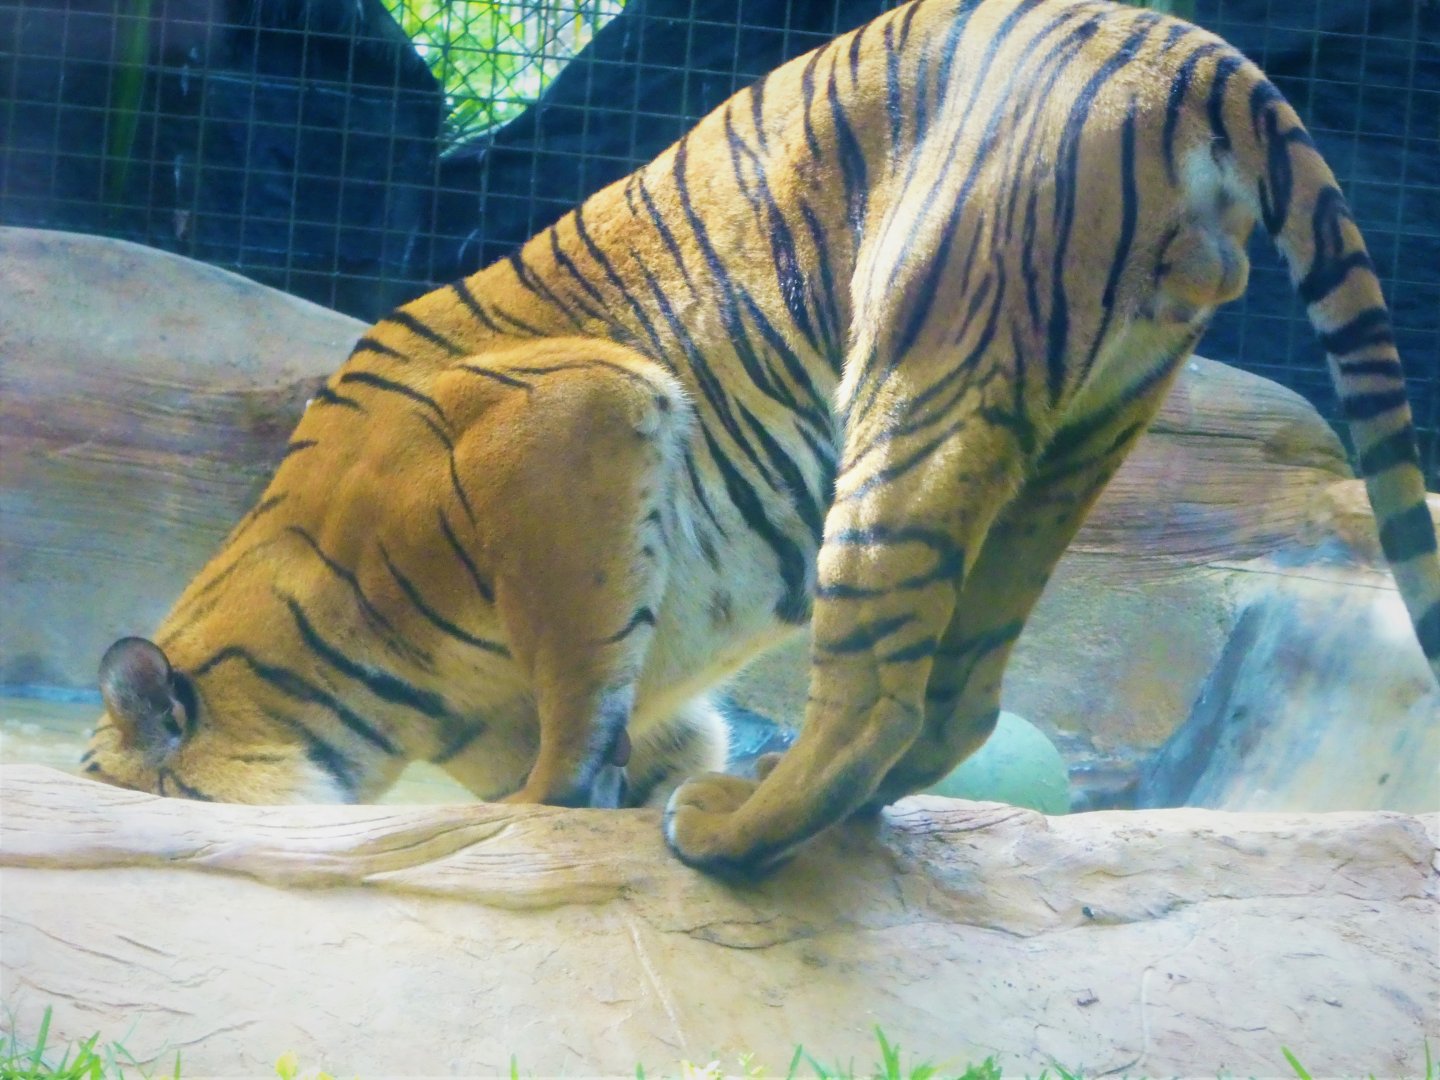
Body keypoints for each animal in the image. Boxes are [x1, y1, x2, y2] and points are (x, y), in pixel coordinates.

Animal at [83, 0, 1440, 876]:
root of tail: (1188, 44)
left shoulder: (572, 420)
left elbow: (576, 681)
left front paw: (543, 813)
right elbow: (641, 718)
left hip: (917, 376)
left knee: (880, 691)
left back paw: (730, 836)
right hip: (1076, 431)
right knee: (959, 699)